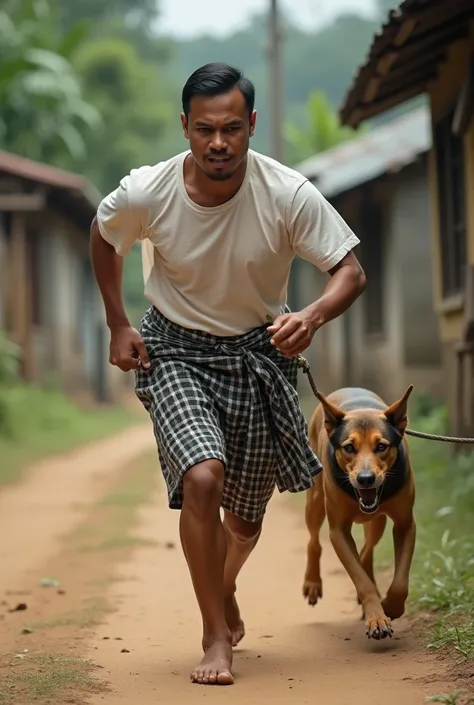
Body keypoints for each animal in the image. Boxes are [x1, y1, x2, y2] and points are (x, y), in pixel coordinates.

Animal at [302, 384, 416, 640]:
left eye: (381, 446)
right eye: (349, 447)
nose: (366, 479)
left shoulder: (405, 523)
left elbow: (400, 583)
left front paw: (391, 607)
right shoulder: (338, 531)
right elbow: (361, 581)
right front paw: (377, 619)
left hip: (377, 521)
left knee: (366, 550)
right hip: (315, 498)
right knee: (314, 539)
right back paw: (312, 583)